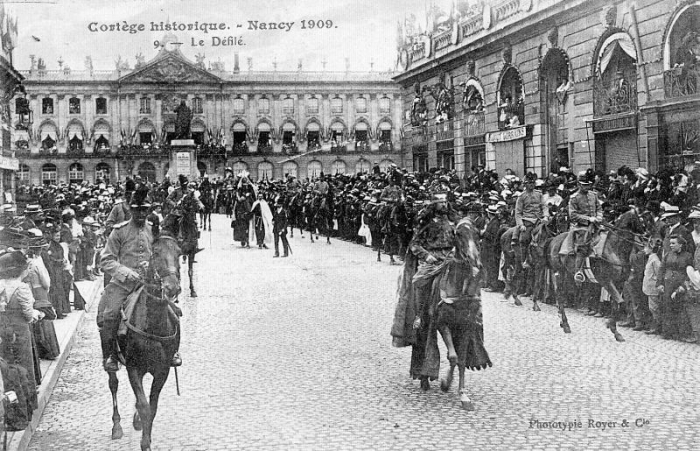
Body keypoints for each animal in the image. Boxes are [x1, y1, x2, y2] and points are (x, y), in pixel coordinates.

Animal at [106, 221, 182, 451]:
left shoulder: (162, 370)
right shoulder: (133, 368)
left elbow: (152, 406)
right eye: (155, 252)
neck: (153, 326)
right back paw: (117, 426)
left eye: (179, 253)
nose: (172, 287)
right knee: (113, 384)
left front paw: (145, 435)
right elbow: (144, 405)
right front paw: (145, 443)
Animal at [438, 218, 492, 410]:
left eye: (477, 234)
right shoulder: (442, 323)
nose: (473, 259)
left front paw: (463, 395)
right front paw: (445, 383)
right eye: (458, 233)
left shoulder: (466, 326)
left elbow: (460, 360)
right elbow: (453, 357)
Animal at [548, 209, 644, 342]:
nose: (647, 236)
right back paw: (565, 324)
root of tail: (555, 239)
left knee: (561, 295)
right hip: (559, 272)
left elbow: (616, 303)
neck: (614, 248)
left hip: (567, 275)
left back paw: (562, 321)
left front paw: (614, 329)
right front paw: (612, 327)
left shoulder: (619, 282)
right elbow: (620, 302)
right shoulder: (606, 281)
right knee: (559, 295)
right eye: (638, 219)